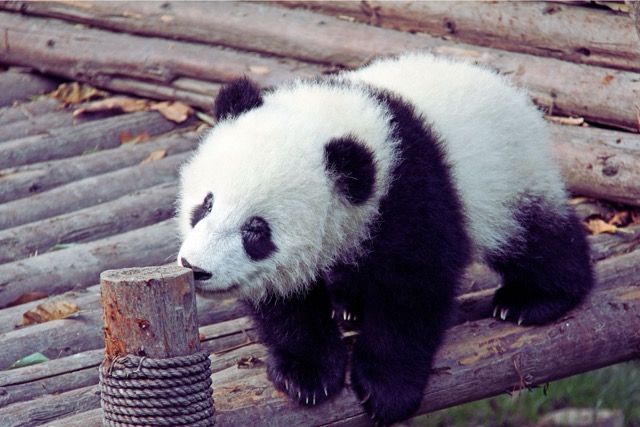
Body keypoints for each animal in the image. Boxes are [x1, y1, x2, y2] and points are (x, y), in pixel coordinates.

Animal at [176, 52, 596, 424]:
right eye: (206, 204)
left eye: (256, 230)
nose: (195, 267)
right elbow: (286, 299)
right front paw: (308, 373)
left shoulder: (410, 191)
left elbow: (412, 289)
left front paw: (386, 389)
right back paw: (349, 304)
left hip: (508, 175)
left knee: (533, 237)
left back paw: (533, 299)